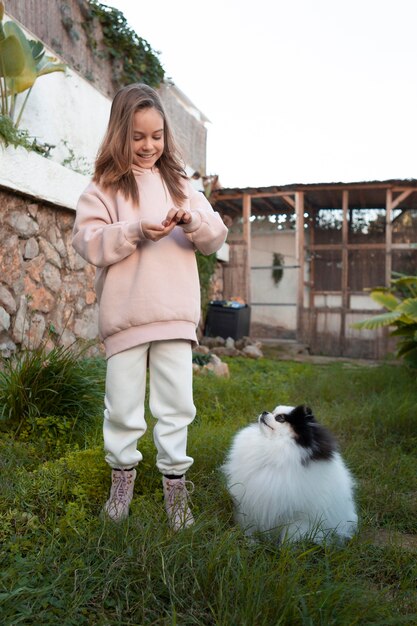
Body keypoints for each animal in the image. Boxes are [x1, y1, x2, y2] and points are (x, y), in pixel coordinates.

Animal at [221, 404, 358, 540]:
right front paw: (249, 539)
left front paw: (284, 545)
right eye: (273, 412)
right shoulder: (248, 502)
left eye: (280, 418)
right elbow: (249, 524)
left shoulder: (298, 517)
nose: (265, 412)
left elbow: (290, 535)